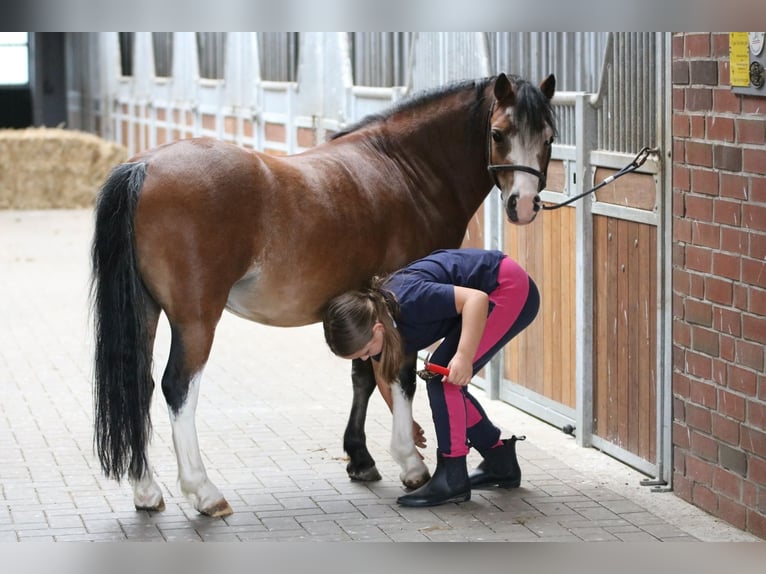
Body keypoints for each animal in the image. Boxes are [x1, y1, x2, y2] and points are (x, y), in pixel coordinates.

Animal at [91, 72, 556, 516]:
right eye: (498, 133)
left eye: (549, 137)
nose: (523, 204)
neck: (405, 170)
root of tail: (144, 166)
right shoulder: (396, 304)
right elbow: (400, 377)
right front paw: (410, 464)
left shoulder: (363, 302)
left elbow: (362, 378)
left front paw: (361, 459)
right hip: (196, 319)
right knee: (177, 387)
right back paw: (205, 494)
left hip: (146, 311)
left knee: (138, 385)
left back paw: (147, 492)